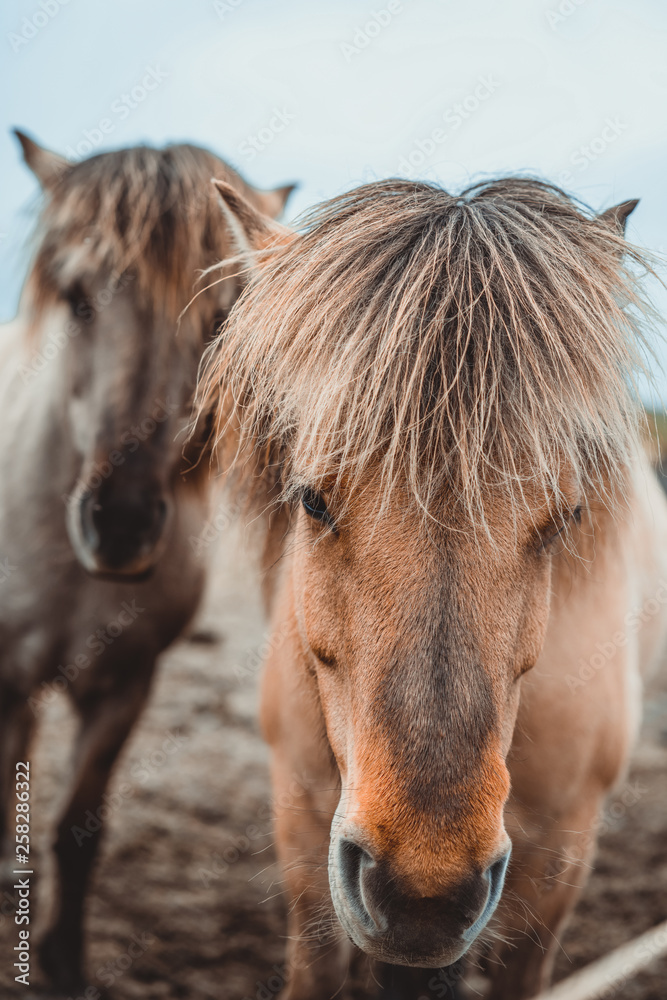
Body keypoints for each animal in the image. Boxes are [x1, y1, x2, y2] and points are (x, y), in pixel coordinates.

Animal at [0, 133, 294, 992]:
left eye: (219, 316)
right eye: (76, 298)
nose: (121, 525)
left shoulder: (125, 685)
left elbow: (78, 828)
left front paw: (63, 962)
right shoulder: (7, 679)